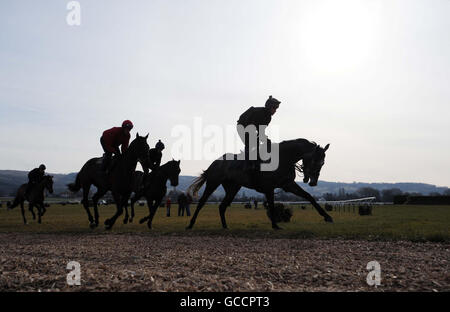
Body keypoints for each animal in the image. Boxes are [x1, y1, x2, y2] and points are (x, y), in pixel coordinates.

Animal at [185, 138, 330, 229]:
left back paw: (225, 226)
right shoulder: (270, 187)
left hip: (233, 188)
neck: (283, 158)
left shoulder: (287, 185)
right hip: (213, 183)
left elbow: (309, 197)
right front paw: (275, 225)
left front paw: (327, 217)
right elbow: (271, 205)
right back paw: (191, 224)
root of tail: (215, 162)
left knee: (222, 206)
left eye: (323, 163)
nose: (313, 182)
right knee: (202, 202)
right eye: (315, 160)